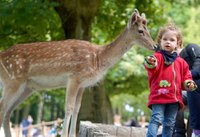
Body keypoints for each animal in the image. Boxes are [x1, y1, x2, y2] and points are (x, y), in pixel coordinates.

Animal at [0, 9, 156, 136]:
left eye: (148, 29)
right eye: (140, 31)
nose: (155, 46)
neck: (97, 59)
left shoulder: (83, 85)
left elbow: (77, 109)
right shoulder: (73, 78)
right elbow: (68, 108)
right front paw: (64, 134)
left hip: (27, 87)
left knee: (8, 112)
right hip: (12, 80)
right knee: (2, 109)